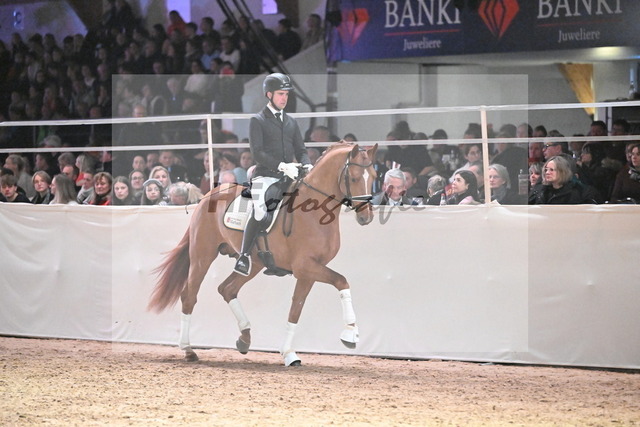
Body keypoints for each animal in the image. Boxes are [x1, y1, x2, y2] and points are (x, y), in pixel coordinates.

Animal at [148, 142, 379, 366]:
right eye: (354, 177)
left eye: (374, 177)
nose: (366, 217)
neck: (314, 211)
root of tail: (208, 195)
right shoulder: (305, 267)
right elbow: (341, 281)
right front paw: (350, 334)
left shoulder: (308, 272)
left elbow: (296, 309)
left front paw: (288, 354)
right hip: (202, 256)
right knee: (189, 296)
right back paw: (188, 350)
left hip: (254, 263)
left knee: (227, 289)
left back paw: (244, 339)